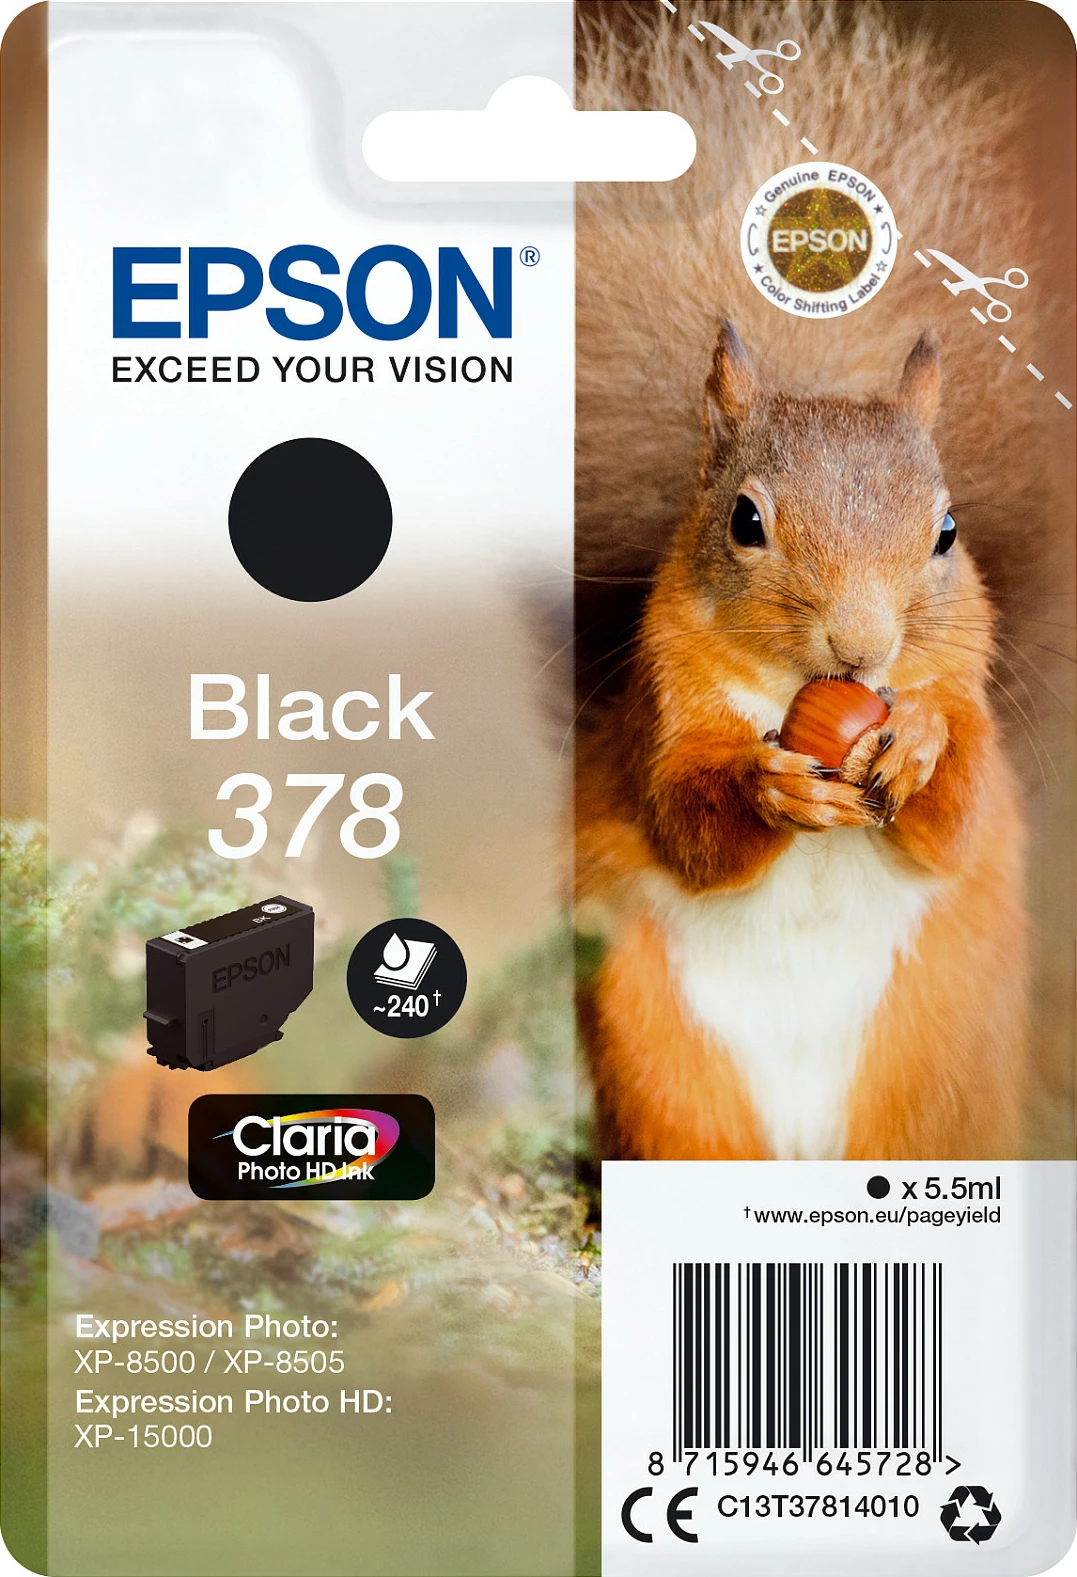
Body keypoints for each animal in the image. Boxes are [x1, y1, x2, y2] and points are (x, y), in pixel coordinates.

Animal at [572, 1, 1072, 1161]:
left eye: (947, 531)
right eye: (745, 521)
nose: (862, 647)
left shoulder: (970, 702)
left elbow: (958, 811)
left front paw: (919, 742)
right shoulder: (663, 710)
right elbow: (685, 819)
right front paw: (772, 786)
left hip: (936, 1069)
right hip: (661, 1062)